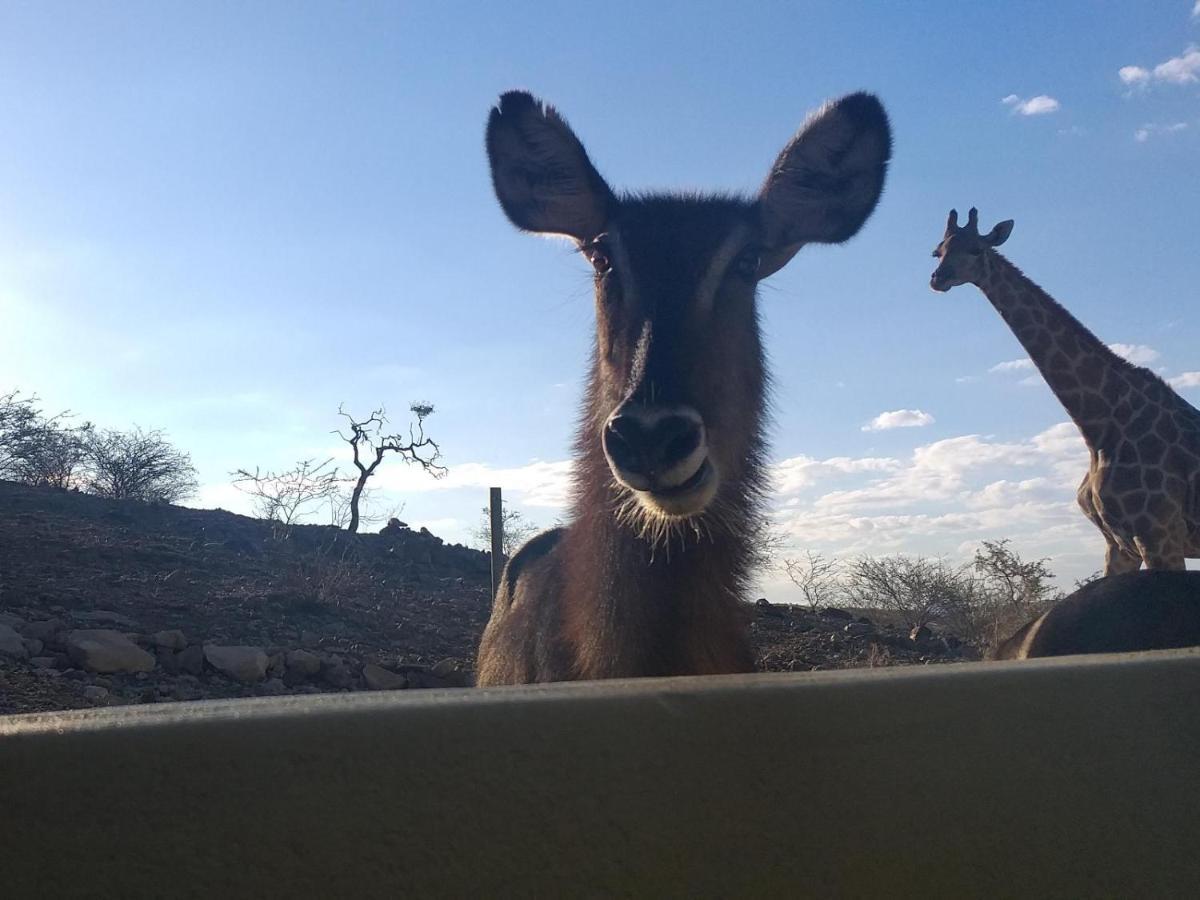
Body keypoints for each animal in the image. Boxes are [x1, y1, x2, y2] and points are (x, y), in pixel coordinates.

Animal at [936, 211, 1200, 573]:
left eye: (976, 250)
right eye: (938, 251)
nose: (938, 278)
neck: (1100, 426)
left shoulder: (1159, 535)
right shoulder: (1119, 544)